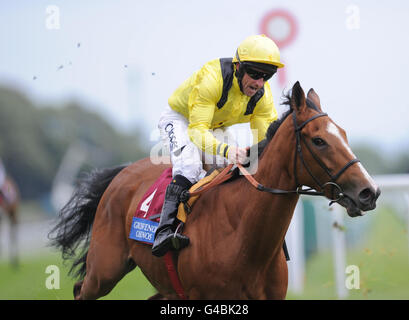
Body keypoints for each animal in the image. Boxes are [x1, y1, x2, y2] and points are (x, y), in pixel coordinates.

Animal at [48, 82, 380, 300]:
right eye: (319, 140)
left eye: (344, 134)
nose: (370, 192)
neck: (245, 238)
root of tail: (122, 172)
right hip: (104, 269)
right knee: (81, 290)